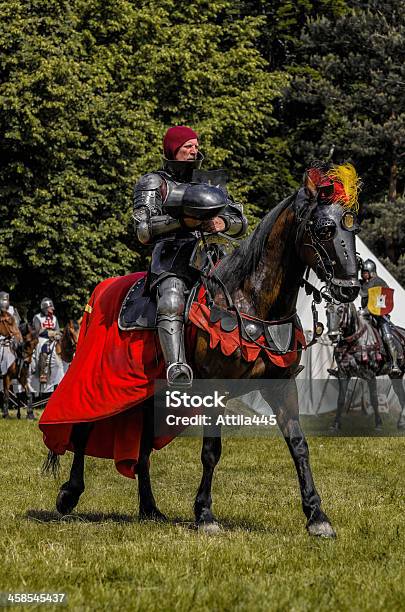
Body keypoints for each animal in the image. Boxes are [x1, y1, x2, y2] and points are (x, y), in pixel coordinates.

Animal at [41, 167, 360, 536]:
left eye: (353, 229)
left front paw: (317, 516)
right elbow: (211, 450)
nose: (350, 288)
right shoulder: (215, 389)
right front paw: (205, 514)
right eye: (324, 229)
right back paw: (69, 494)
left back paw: (149, 508)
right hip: (100, 382)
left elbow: (299, 445)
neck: (250, 299)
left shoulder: (281, 385)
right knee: (82, 428)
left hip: (151, 397)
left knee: (142, 449)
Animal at [326, 302, 404, 430]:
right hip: (396, 376)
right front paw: (335, 424)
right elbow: (341, 399)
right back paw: (401, 422)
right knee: (401, 394)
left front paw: (378, 424)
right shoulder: (343, 374)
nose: (333, 335)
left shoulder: (370, 375)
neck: (354, 341)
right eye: (327, 311)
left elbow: (374, 399)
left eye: (341, 310)